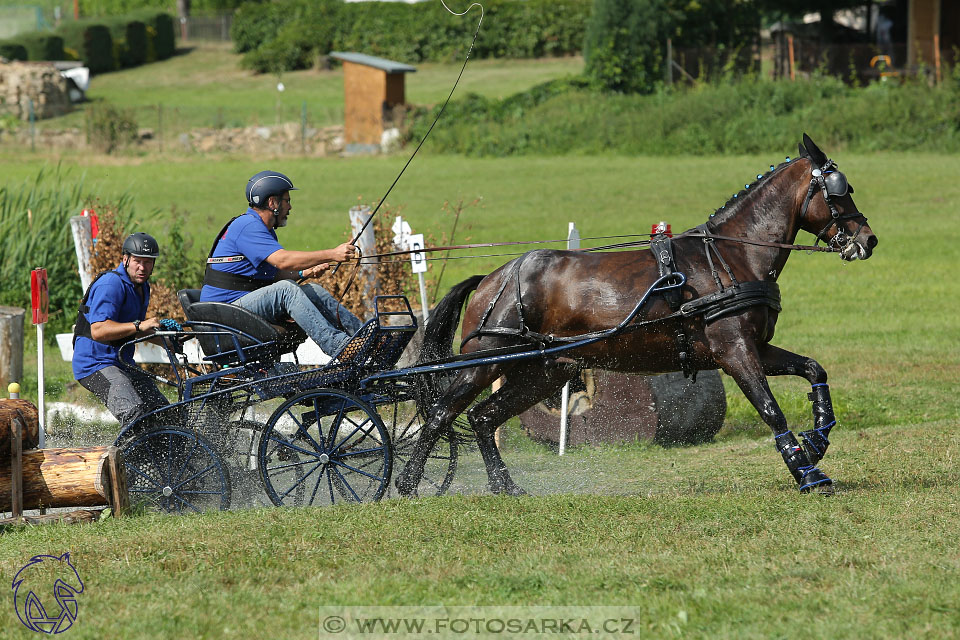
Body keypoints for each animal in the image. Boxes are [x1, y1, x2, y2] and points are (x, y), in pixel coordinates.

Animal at [396, 134, 876, 496]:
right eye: (839, 191)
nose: (868, 240)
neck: (732, 257)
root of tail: (493, 277)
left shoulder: (756, 348)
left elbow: (814, 369)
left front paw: (817, 441)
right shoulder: (735, 352)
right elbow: (771, 410)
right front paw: (807, 472)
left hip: (543, 371)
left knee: (483, 417)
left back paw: (504, 486)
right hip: (486, 361)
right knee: (441, 413)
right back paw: (406, 485)